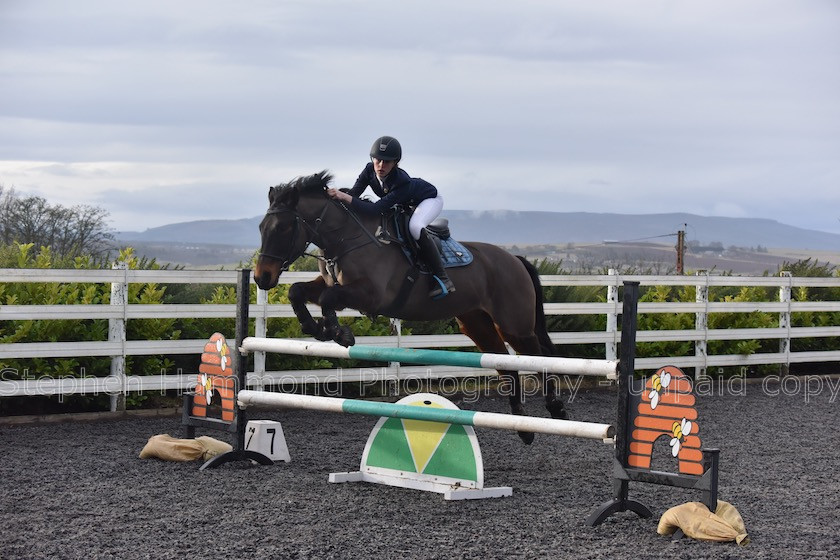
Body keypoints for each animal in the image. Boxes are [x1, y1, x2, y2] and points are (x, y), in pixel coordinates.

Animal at [251, 171, 564, 442]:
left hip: (515, 325)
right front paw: (314, 327)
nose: (261, 277)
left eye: (283, 228)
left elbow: (328, 299)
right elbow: (298, 291)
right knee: (507, 365)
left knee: (538, 358)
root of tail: (515, 260)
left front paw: (340, 334)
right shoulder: (331, 284)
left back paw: (557, 409)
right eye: (261, 228)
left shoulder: (370, 295)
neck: (346, 238)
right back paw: (523, 428)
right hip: (477, 325)